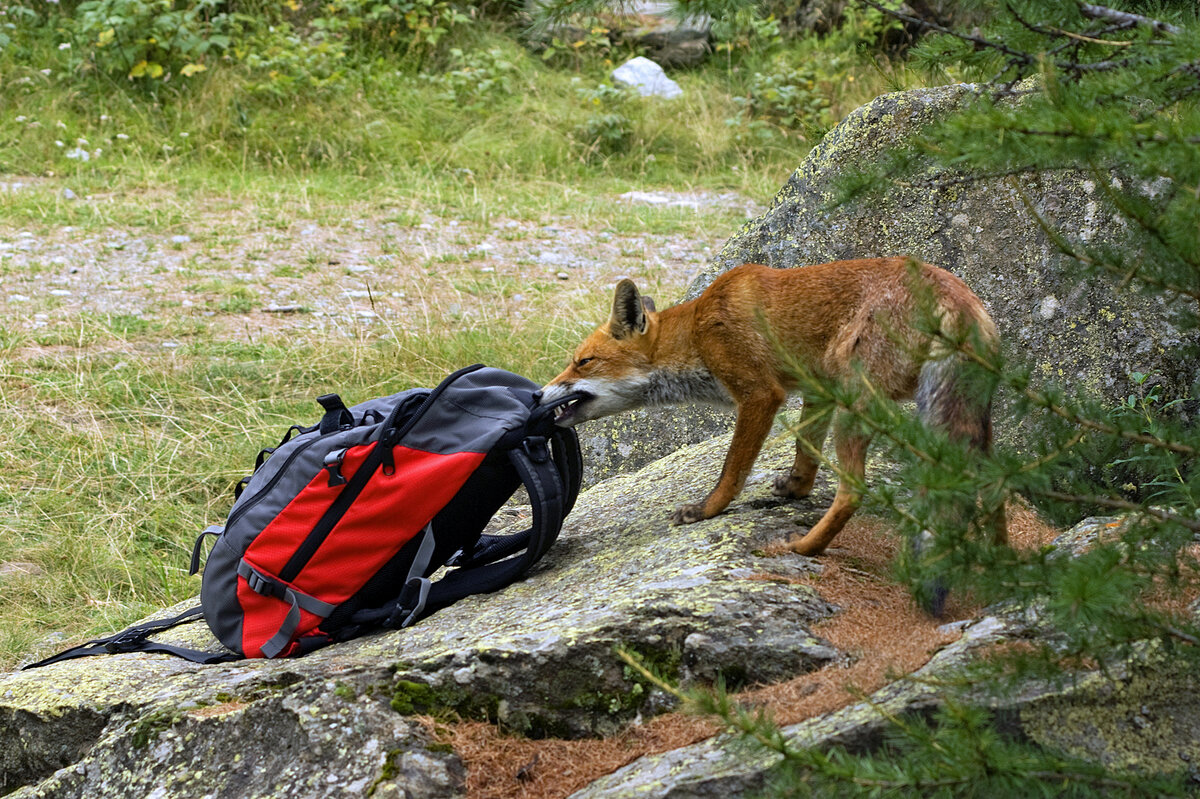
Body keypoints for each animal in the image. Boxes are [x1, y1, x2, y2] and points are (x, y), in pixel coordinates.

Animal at [540, 256, 1008, 554]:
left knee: (854, 490)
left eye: (582, 362)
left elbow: (732, 470)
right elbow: (806, 450)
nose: (537, 394)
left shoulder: (760, 394)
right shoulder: (818, 387)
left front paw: (707, 510)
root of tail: (960, 298)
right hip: (970, 418)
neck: (695, 333)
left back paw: (802, 548)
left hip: (857, 404)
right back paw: (1002, 563)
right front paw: (796, 489)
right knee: (995, 487)